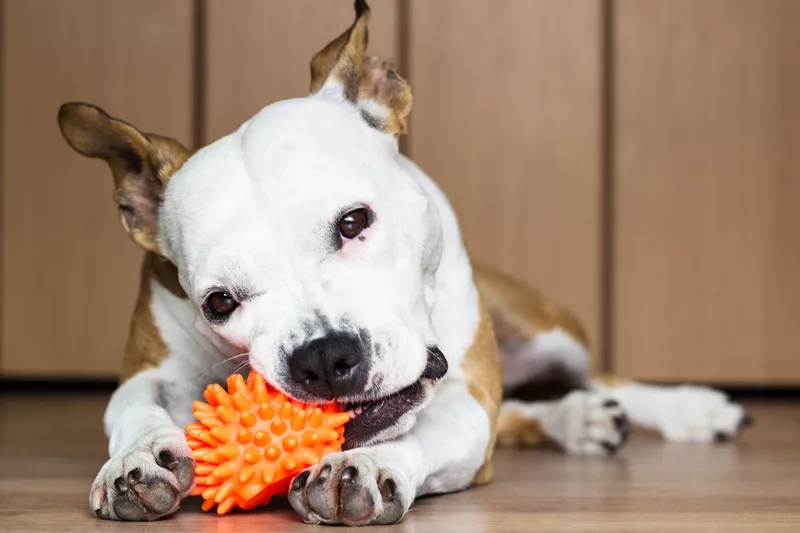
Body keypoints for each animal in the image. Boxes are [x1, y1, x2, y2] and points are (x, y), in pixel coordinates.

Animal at [56, 0, 752, 524]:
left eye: (354, 222)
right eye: (219, 302)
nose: (324, 358)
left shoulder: (468, 399)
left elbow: (425, 431)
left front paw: (368, 465)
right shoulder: (149, 368)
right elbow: (132, 406)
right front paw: (136, 460)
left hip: (550, 333)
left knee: (600, 377)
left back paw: (691, 409)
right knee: (526, 413)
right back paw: (576, 421)